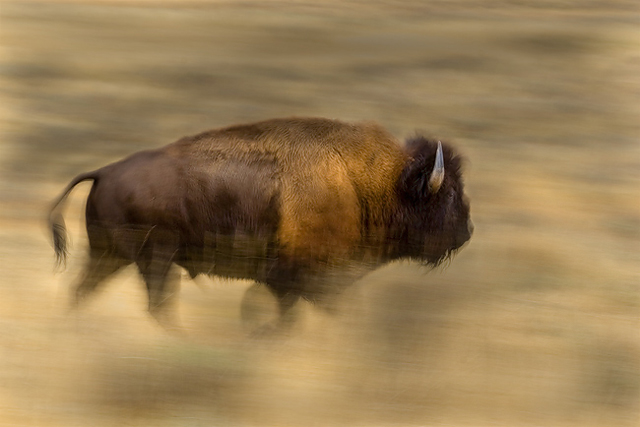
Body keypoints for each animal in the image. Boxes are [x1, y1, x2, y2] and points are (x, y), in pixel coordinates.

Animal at [49, 117, 472, 329]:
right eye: (449, 193)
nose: (467, 231)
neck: (366, 182)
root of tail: (103, 172)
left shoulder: (295, 282)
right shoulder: (307, 278)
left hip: (111, 257)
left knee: (85, 291)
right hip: (154, 259)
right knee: (156, 304)